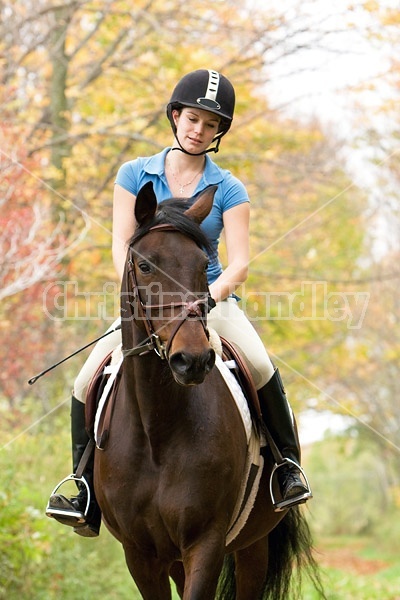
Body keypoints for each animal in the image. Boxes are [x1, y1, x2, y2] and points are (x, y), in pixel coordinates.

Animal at [94, 184, 322, 600]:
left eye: (203, 265)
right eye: (145, 266)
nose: (193, 360)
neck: (157, 429)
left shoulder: (206, 543)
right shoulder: (140, 555)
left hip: (252, 545)